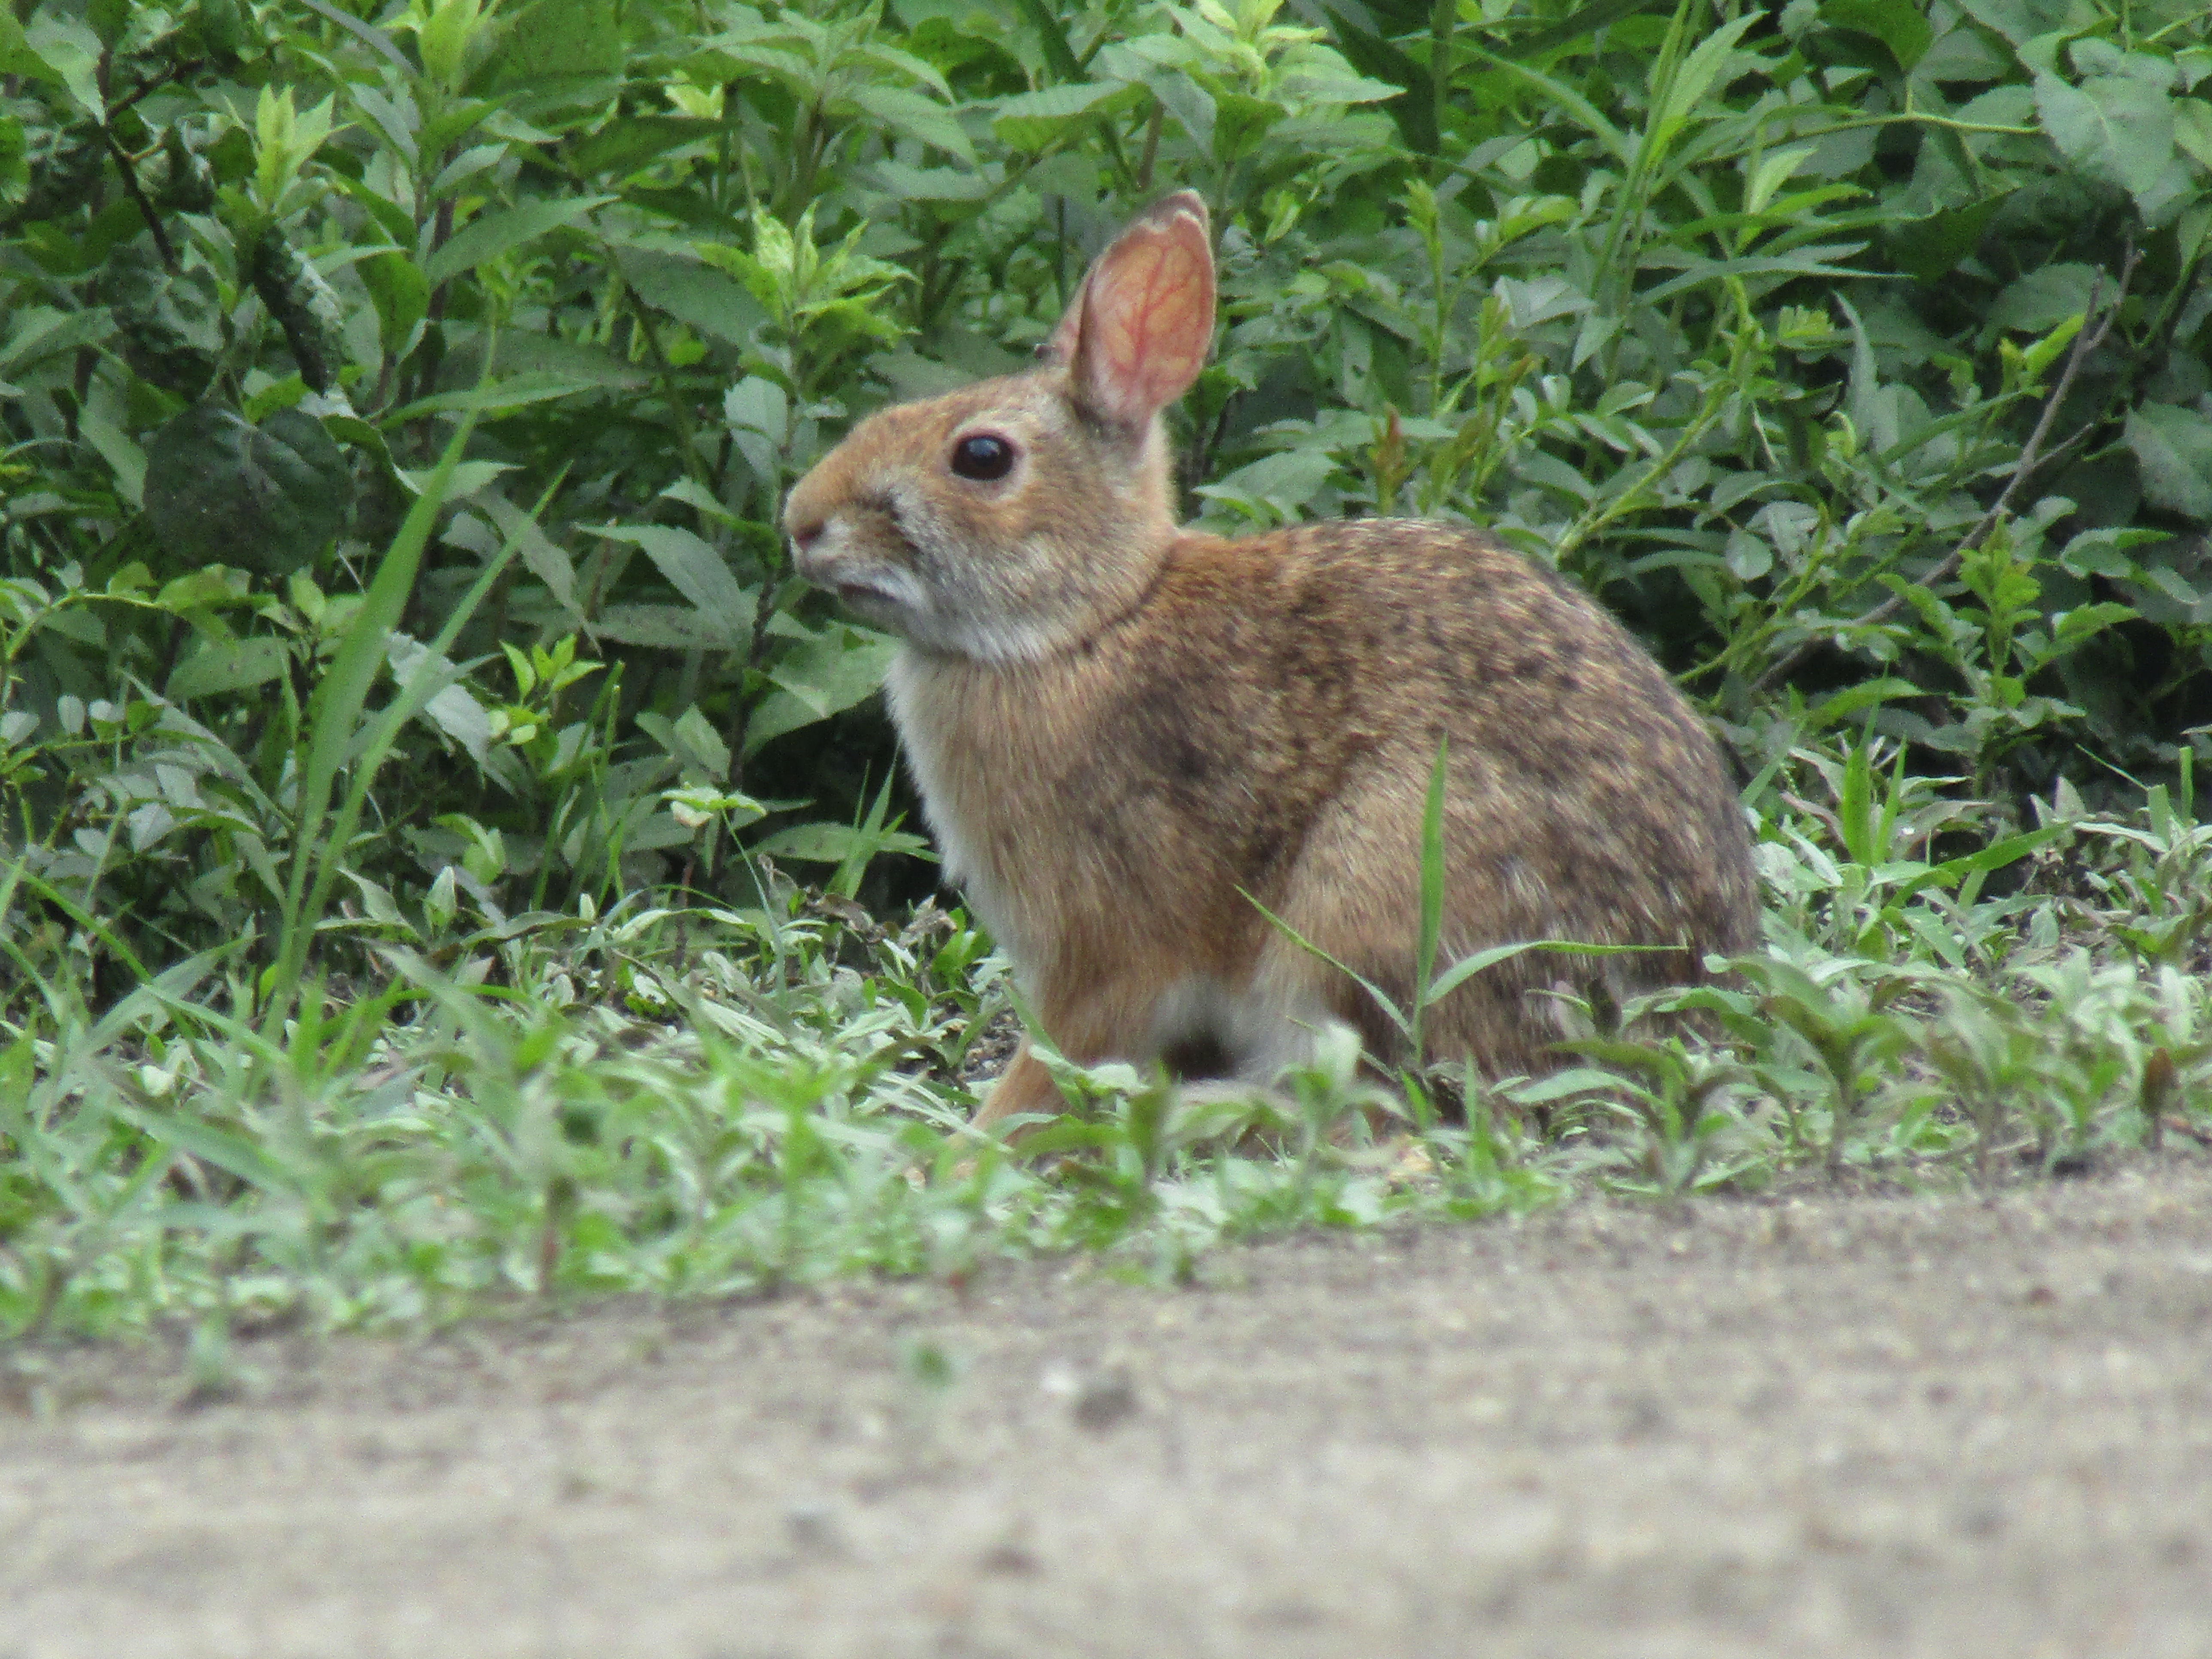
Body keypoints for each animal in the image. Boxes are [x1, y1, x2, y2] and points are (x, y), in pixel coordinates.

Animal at [787, 191, 1752, 1132]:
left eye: (981, 458)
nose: (801, 522)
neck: (1085, 625)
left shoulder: (1108, 941)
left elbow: (1064, 1049)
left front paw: (975, 1142)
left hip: (1377, 883)